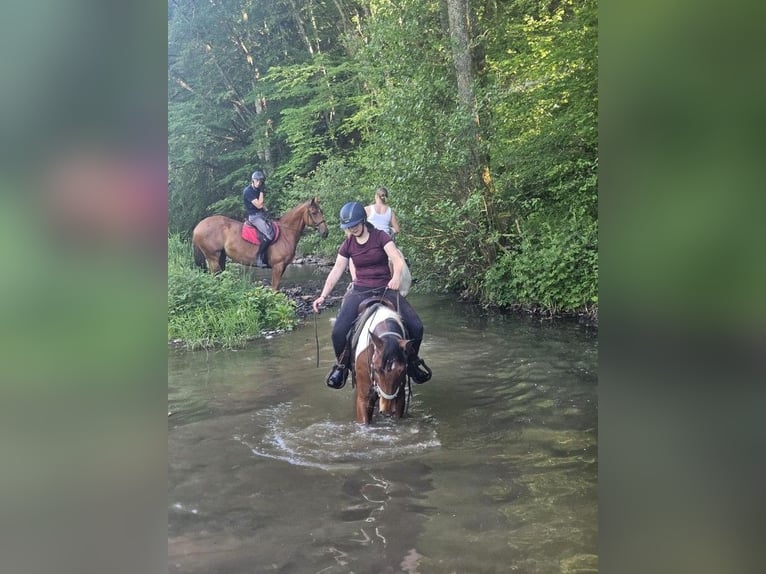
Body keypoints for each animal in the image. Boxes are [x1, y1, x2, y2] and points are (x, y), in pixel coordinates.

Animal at [192, 197, 328, 290]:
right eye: (314, 212)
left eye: (321, 211)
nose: (325, 232)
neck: (286, 233)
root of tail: (198, 227)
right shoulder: (278, 266)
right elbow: (274, 289)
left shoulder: (283, 267)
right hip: (212, 258)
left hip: (221, 256)